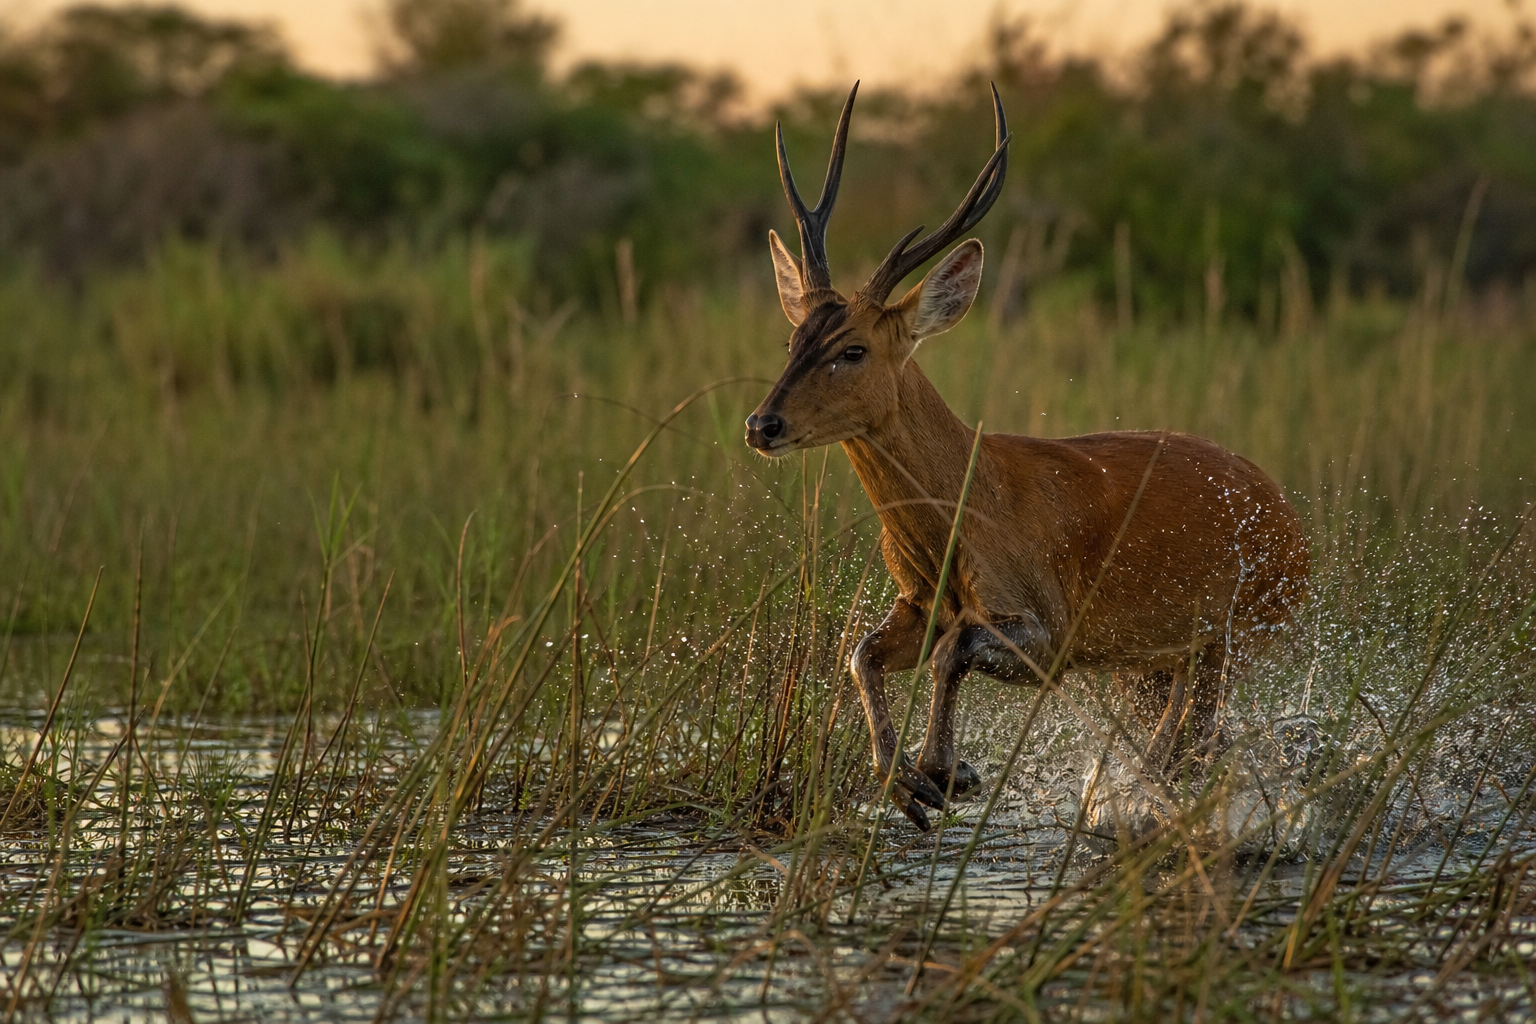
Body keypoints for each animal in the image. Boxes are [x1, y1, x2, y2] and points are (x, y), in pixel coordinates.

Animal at [745, 83, 1310, 831]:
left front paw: (943, 771)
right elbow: (859, 652)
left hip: (1234, 632)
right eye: (791, 342)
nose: (762, 424)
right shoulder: (919, 603)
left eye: (853, 348)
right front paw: (907, 782)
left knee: (1187, 750)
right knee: (1187, 749)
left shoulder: (1049, 626)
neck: (960, 514)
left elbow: (952, 651)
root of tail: (1291, 521)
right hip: (1151, 664)